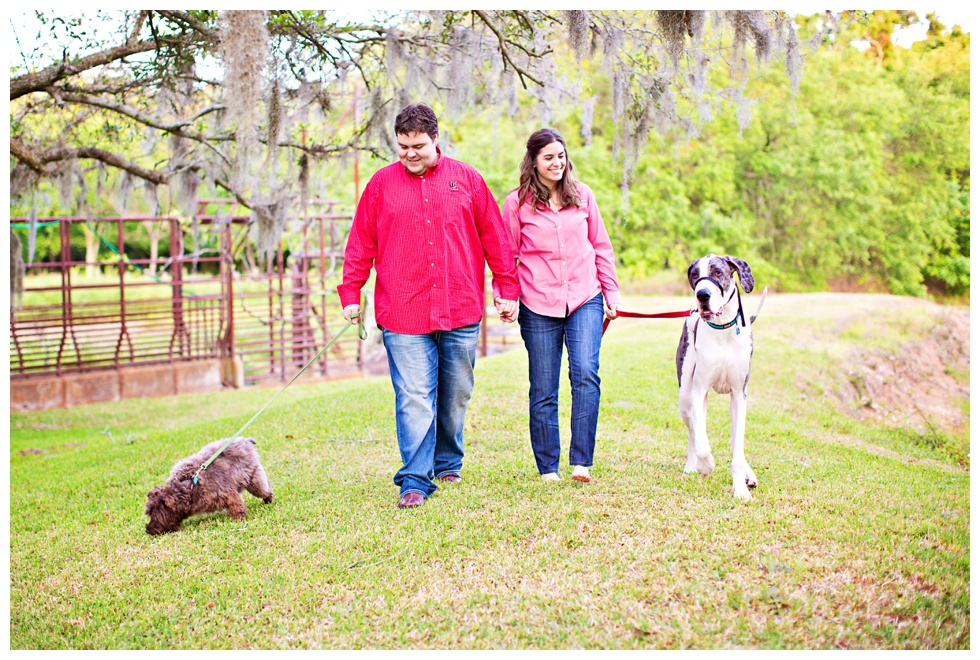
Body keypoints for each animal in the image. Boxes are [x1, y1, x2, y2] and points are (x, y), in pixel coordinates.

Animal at [144, 436, 272, 532]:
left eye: (154, 515)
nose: (148, 530)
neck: (189, 486)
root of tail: (246, 440)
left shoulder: (226, 492)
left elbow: (237, 505)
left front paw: (239, 518)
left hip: (253, 478)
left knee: (264, 490)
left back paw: (268, 500)